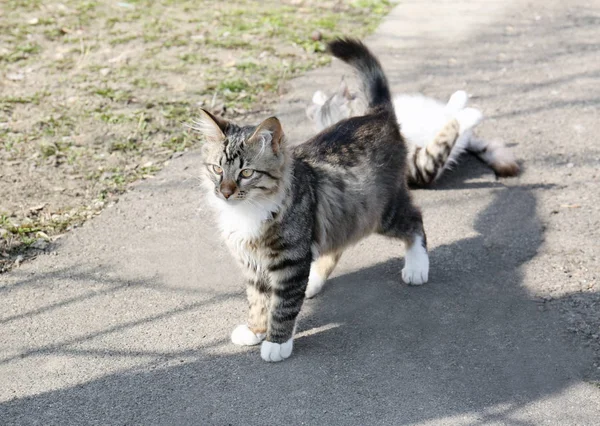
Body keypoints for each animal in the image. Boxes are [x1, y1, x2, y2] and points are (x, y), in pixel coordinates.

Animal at [195, 38, 428, 362]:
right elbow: (258, 300)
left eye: (246, 173)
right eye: (217, 169)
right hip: (342, 216)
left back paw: (417, 267)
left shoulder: (291, 260)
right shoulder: (253, 264)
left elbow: (283, 306)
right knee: (335, 248)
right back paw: (313, 283)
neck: (247, 212)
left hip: (381, 212)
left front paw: (276, 343)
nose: (225, 191)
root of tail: (377, 114)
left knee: (415, 220)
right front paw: (255, 330)